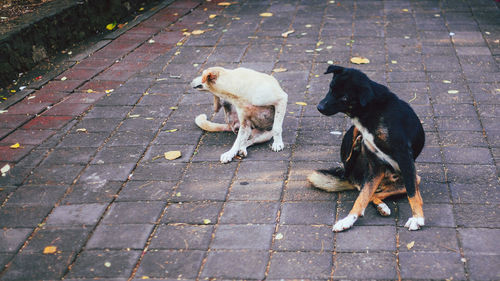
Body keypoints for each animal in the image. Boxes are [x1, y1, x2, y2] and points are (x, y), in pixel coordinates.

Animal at [308, 64, 426, 231]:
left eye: (344, 98)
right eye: (330, 88)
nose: (319, 107)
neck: (372, 111)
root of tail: (353, 180)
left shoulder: (404, 158)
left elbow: (412, 192)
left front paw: (417, 218)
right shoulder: (376, 166)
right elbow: (362, 198)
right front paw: (348, 220)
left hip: (413, 177)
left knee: (377, 192)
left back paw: (382, 206)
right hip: (355, 145)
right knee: (355, 177)